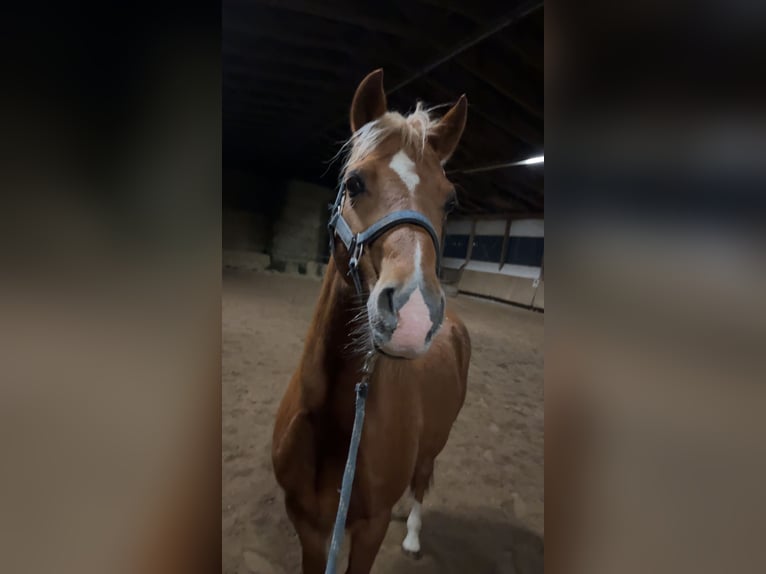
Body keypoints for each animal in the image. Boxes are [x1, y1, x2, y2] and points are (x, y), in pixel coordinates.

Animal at [272, 69, 471, 574]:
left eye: (450, 202)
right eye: (355, 183)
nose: (415, 314)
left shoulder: (369, 530)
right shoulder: (306, 525)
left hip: (438, 439)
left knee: (422, 479)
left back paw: (414, 535)